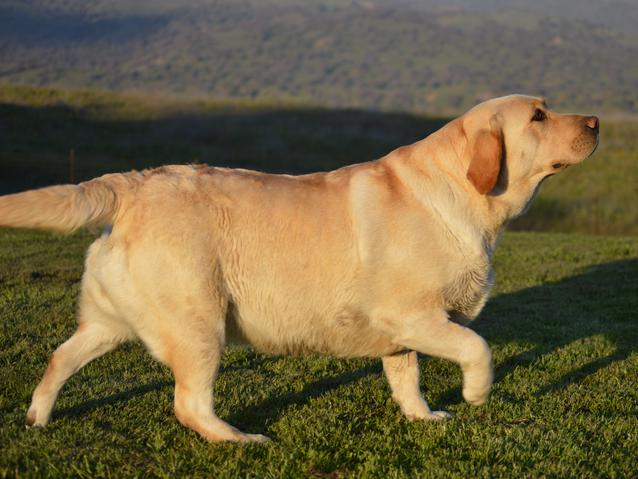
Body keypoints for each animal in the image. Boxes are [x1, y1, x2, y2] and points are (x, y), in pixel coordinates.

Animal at [0, 94, 600, 442]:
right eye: (538, 116)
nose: (595, 120)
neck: (465, 192)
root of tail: (133, 184)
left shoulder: (404, 331)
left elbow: (406, 377)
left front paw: (422, 416)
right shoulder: (414, 316)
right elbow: (478, 348)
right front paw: (476, 394)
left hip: (111, 320)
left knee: (60, 357)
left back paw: (36, 418)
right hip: (199, 323)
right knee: (188, 403)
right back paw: (239, 439)